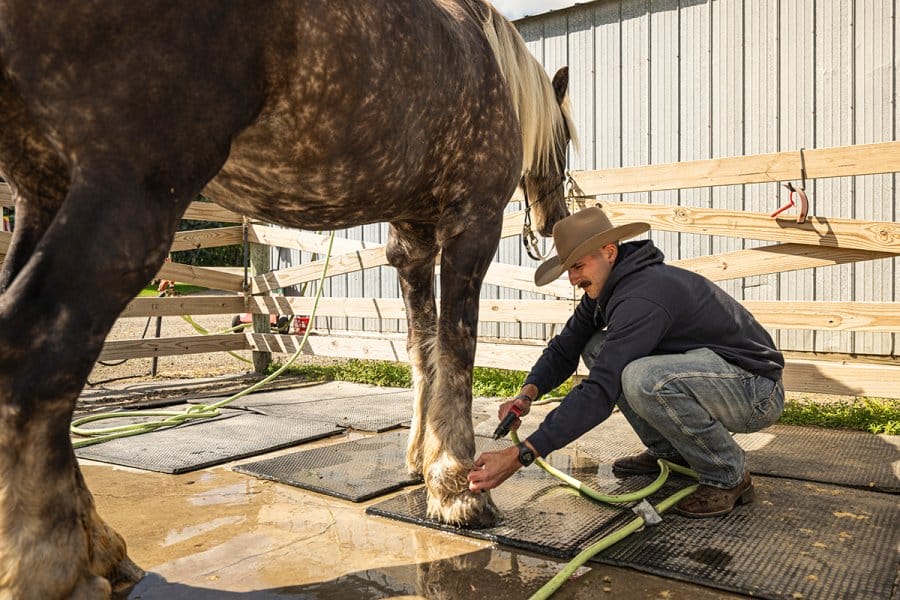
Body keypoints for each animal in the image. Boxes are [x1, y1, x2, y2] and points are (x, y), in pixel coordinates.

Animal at [0, 1, 576, 597]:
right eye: (565, 142)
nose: (553, 219)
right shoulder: (471, 228)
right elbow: (457, 349)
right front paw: (460, 490)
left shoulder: (411, 245)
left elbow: (423, 349)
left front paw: (421, 462)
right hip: (126, 206)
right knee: (33, 366)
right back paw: (58, 569)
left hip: (43, 193)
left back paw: (104, 553)